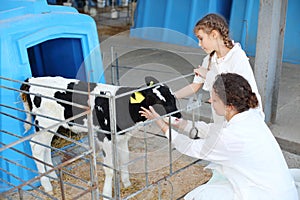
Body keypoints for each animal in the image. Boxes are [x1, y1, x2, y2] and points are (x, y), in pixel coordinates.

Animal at [21, 76, 182, 198]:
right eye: (159, 101)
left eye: (173, 97)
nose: (178, 116)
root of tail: (32, 80)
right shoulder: (104, 137)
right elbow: (109, 168)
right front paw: (106, 194)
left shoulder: (122, 137)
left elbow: (125, 160)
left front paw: (127, 184)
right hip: (44, 123)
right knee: (36, 147)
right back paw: (47, 185)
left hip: (50, 126)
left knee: (45, 147)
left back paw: (53, 176)